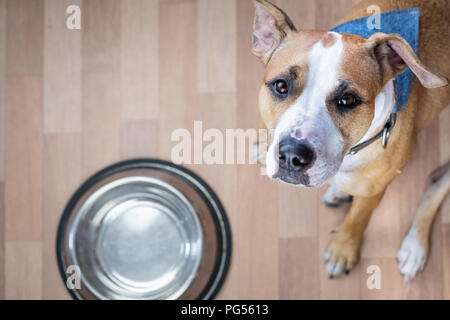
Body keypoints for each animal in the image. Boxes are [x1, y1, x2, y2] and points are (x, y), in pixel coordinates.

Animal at [253, 0, 450, 280]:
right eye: (281, 86)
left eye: (347, 100)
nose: (292, 156)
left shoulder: (374, 190)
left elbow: (358, 217)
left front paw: (343, 248)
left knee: (438, 182)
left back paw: (414, 246)